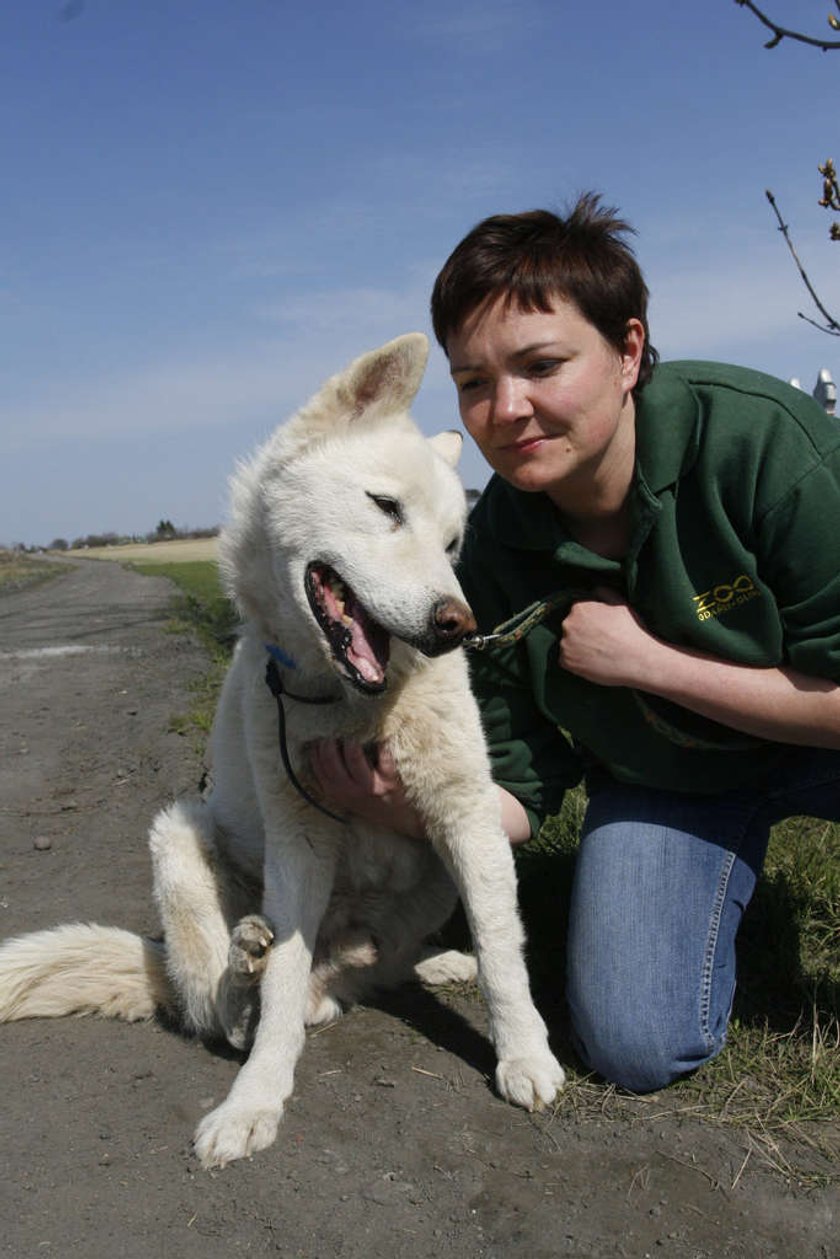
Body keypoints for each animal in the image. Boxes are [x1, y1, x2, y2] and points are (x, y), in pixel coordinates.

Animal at [1, 337, 564, 1168]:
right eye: (386, 507)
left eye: (453, 543)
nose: (455, 625)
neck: (347, 703)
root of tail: (345, 967)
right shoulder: (298, 840)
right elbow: (281, 993)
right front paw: (255, 1099)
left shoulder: (466, 814)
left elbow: (502, 949)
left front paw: (523, 1052)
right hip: (177, 833)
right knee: (224, 1002)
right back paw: (247, 961)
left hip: (431, 874)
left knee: (382, 965)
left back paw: (426, 962)